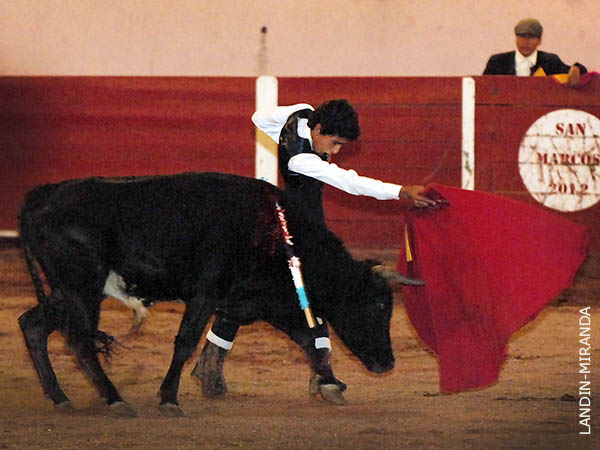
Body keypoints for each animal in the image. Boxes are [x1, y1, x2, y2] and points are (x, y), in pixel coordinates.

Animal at [16, 171, 396, 414]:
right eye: (379, 306)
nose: (387, 363)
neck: (275, 232)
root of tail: (43, 195)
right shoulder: (205, 294)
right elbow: (185, 342)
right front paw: (169, 399)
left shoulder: (261, 300)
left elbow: (310, 338)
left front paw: (330, 384)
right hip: (82, 288)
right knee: (79, 341)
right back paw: (115, 400)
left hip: (68, 291)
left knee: (32, 324)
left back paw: (59, 397)